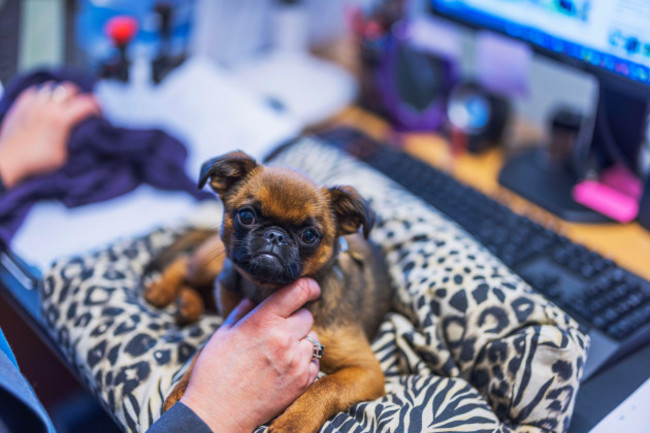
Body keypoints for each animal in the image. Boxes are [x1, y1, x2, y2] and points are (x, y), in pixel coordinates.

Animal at [144, 150, 390, 430]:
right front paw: (183, 389)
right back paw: (162, 291)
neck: (266, 290)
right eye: (246, 216)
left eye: (309, 236)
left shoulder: (365, 370)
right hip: (210, 266)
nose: (275, 235)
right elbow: (202, 354)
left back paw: (186, 306)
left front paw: (294, 422)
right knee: (183, 264)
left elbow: (327, 385)